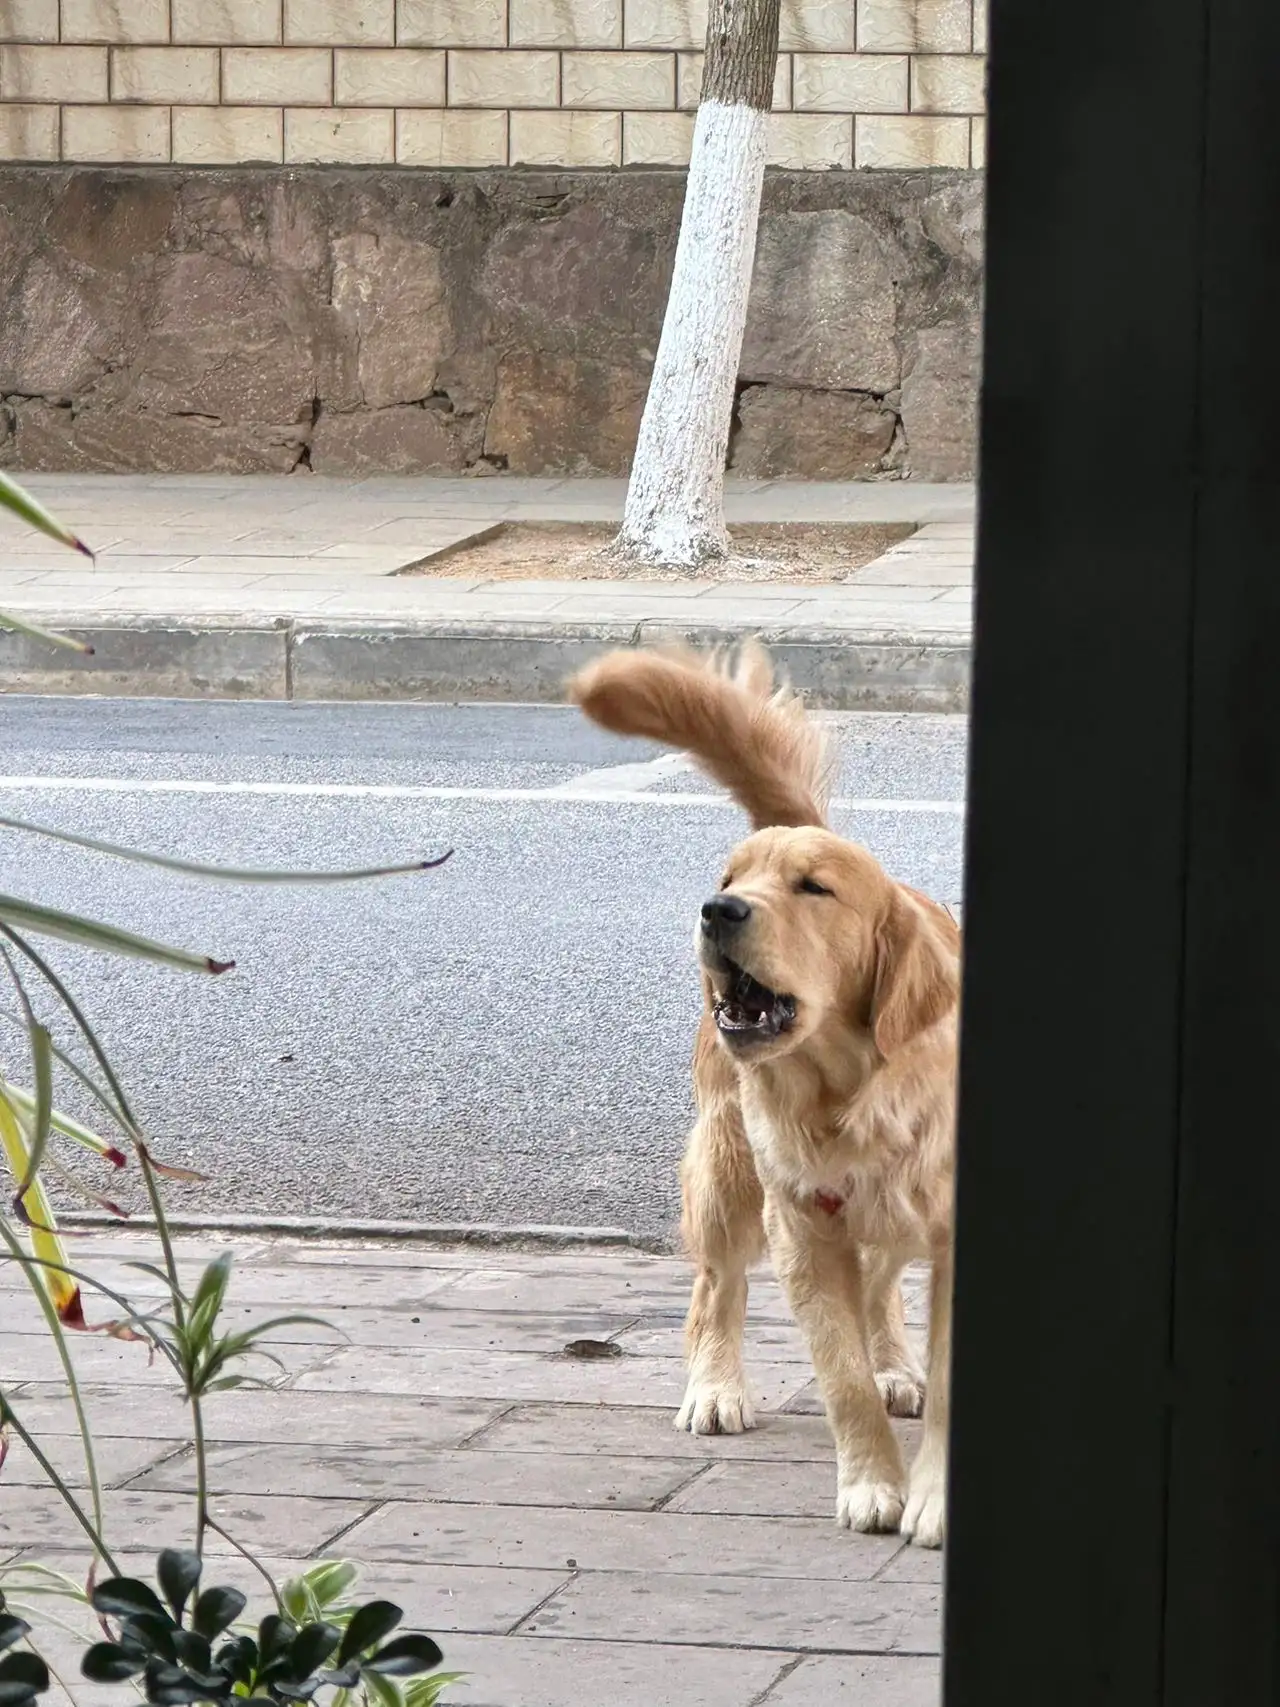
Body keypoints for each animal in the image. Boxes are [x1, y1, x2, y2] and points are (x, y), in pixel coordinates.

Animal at [570, 641, 962, 1549]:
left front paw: (931, 1499)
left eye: (814, 887)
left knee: (882, 1287)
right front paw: (872, 1486)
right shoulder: (803, 1229)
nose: (718, 908)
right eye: (732, 875)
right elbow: (839, 1377)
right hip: (727, 1171)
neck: (853, 1092)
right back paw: (716, 1386)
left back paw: (897, 1364)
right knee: (715, 1287)